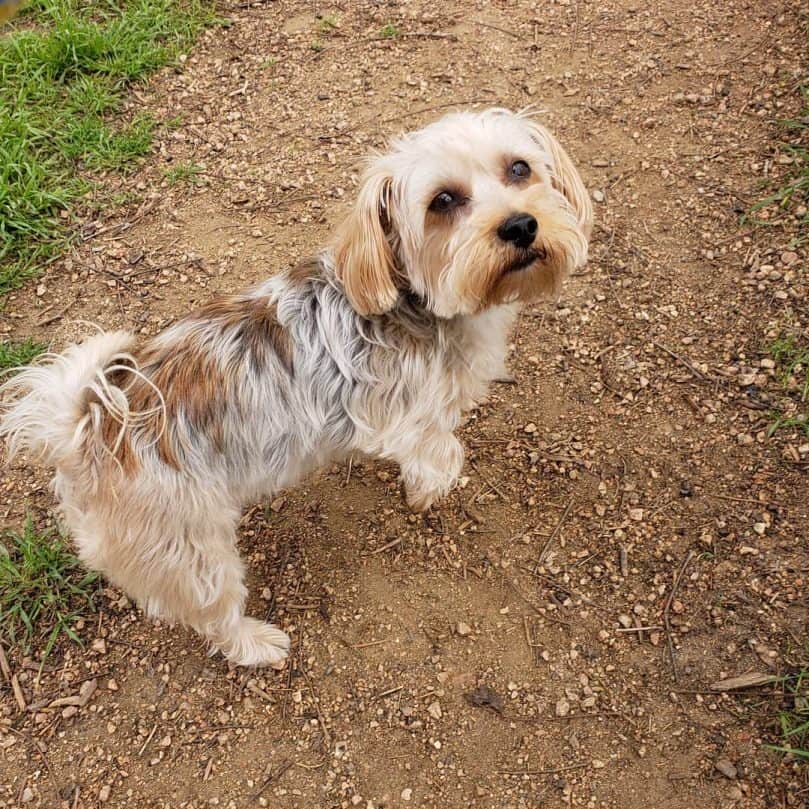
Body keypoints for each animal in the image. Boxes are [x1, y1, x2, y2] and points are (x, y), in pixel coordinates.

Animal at [1, 107, 592, 664]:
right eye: (443, 201)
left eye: (519, 168)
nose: (520, 226)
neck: (411, 300)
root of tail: (85, 428)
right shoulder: (408, 420)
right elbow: (439, 453)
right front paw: (431, 491)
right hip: (190, 548)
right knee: (213, 615)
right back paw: (257, 644)